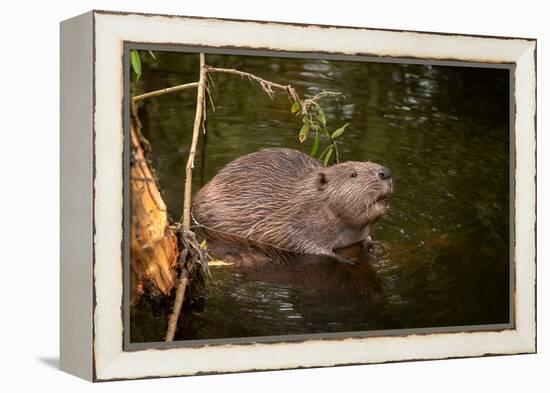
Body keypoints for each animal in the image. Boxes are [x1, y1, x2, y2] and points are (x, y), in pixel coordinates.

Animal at [192, 147, 394, 264]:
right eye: (353, 174)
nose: (386, 172)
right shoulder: (287, 222)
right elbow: (301, 245)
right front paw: (344, 259)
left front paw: (373, 246)